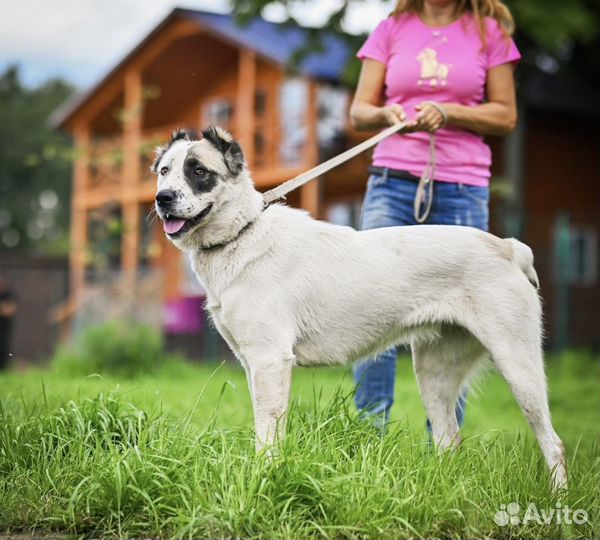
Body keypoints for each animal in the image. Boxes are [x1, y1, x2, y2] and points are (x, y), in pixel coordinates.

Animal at [154, 127, 568, 490]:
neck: (243, 232)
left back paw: (558, 500)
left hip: (519, 366)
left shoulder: (271, 362)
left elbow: (268, 434)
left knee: (554, 443)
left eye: (199, 171)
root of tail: (508, 247)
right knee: (449, 440)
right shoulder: (254, 365)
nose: (162, 198)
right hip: (433, 375)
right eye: (164, 172)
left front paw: (265, 477)